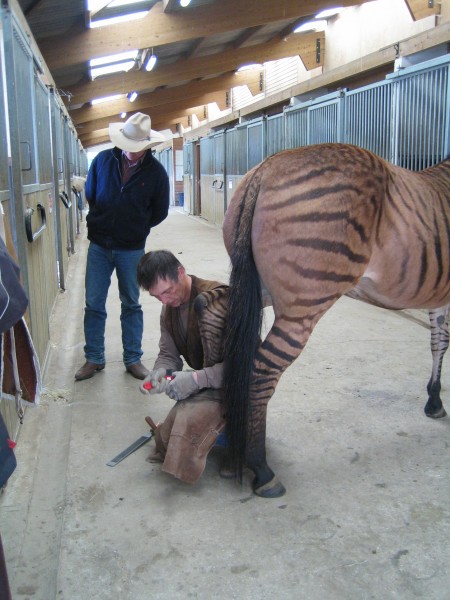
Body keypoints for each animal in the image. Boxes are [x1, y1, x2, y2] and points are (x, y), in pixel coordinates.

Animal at [221, 143, 450, 500]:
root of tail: (265, 169)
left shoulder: (440, 298)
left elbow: (437, 342)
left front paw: (434, 399)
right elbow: (443, 343)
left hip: (254, 291)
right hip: (303, 304)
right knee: (261, 370)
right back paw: (261, 468)